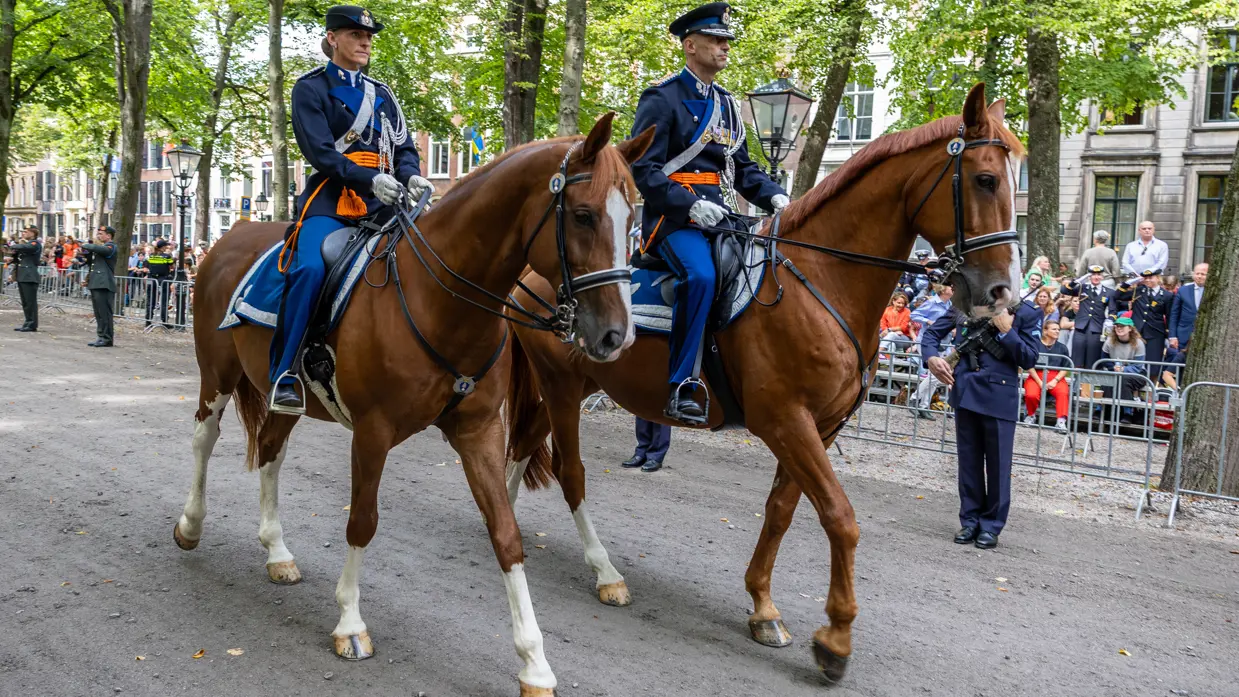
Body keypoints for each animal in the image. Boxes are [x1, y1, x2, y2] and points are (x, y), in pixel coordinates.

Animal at [172, 113, 654, 696]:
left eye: (634, 219)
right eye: (583, 215)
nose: (616, 336)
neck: (440, 299)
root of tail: (229, 238)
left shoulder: (479, 432)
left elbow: (506, 534)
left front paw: (534, 662)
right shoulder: (372, 432)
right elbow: (362, 521)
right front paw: (350, 623)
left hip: (284, 395)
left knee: (269, 448)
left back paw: (277, 552)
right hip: (217, 375)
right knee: (203, 439)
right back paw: (190, 525)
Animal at [503, 84, 1025, 685]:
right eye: (985, 179)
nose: (1002, 292)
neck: (822, 280)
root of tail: (528, 273)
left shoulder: (819, 426)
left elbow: (781, 511)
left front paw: (762, 607)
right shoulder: (785, 420)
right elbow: (840, 517)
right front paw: (835, 639)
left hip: (568, 386)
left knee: (523, 445)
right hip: (561, 386)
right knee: (570, 471)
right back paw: (604, 572)